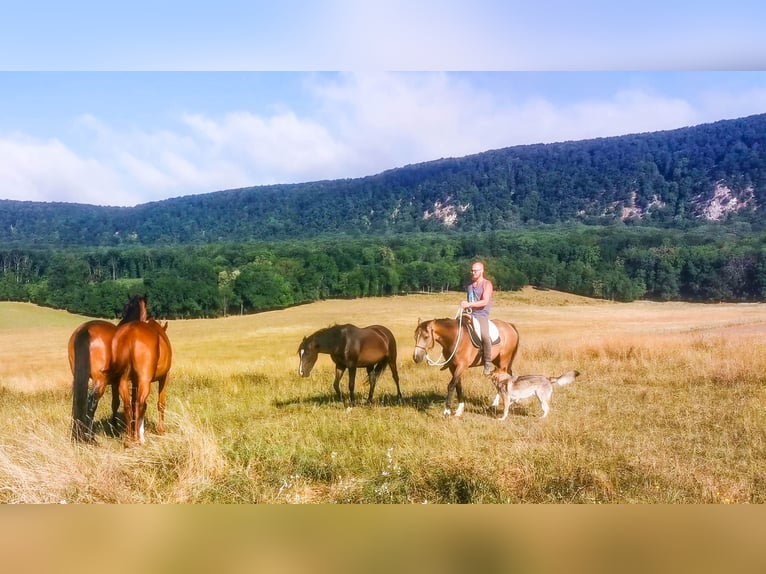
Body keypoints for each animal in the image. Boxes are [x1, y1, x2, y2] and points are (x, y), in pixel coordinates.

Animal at [69, 294, 148, 442]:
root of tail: (85, 330)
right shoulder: (129, 381)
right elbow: (124, 402)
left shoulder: (115, 382)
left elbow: (115, 403)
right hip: (100, 381)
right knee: (91, 403)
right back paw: (89, 438)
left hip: (78, 377)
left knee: (78, 401)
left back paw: (76, 435)